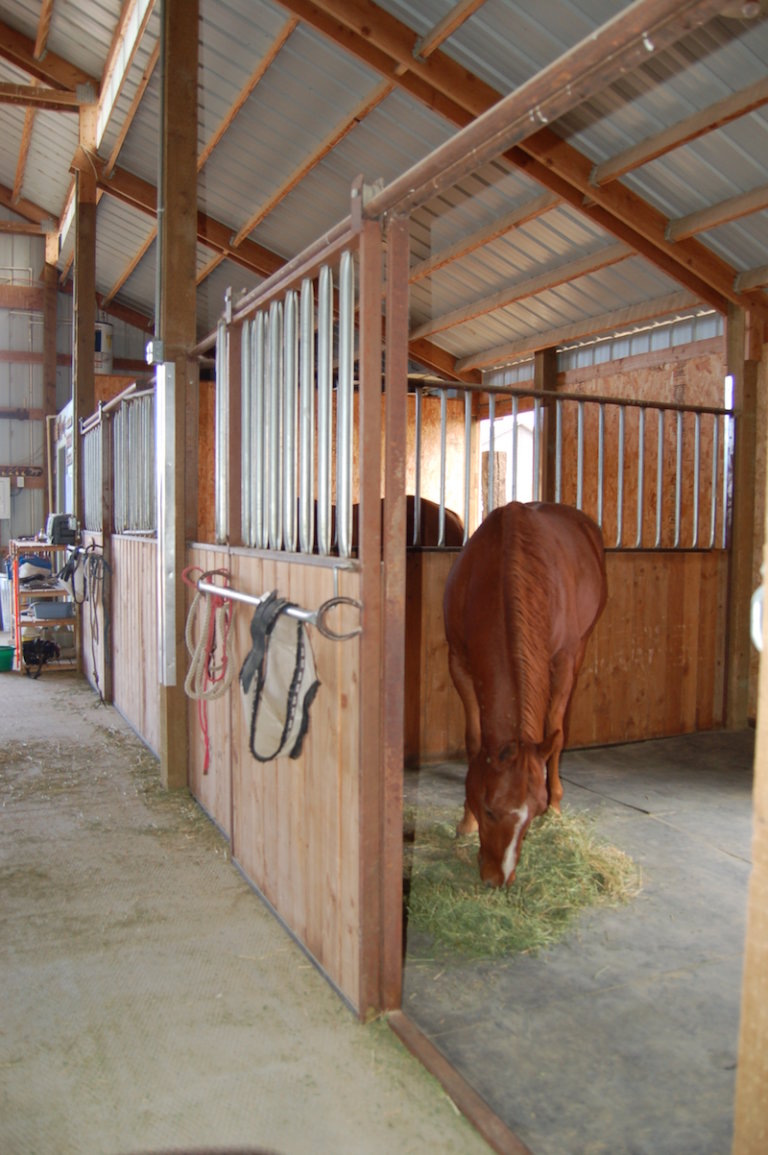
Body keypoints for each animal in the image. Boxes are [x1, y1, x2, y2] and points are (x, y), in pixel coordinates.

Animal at [443, 501, 605, 887]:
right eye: (488, 809)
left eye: (535, 811)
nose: (498, 880)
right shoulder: (458, 661)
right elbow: (473, 740)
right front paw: (466, 821)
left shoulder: (563, 659)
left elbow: (555, 732)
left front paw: (555, 806)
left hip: (579, 651)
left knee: (558, 728)